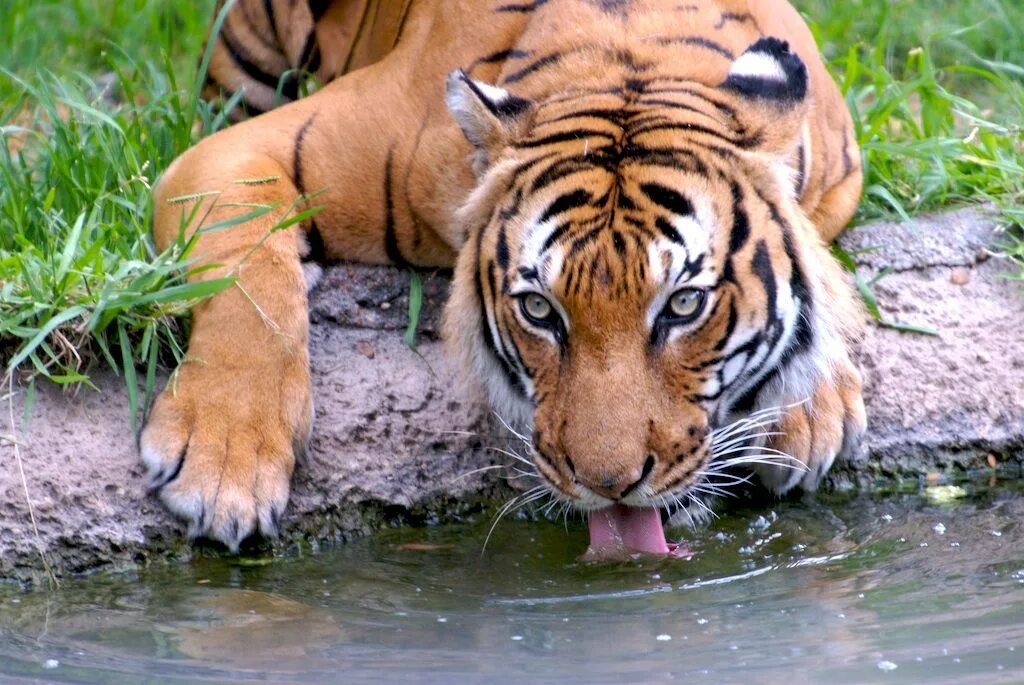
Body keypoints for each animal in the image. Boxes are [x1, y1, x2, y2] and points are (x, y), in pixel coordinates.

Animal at [142, 0, 864, 557]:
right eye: (540, 310)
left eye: (683, 305)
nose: (609, 484)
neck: (625, 58)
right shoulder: (236, 151)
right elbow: (247, 289)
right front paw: (225, 468)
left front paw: (808, 410)